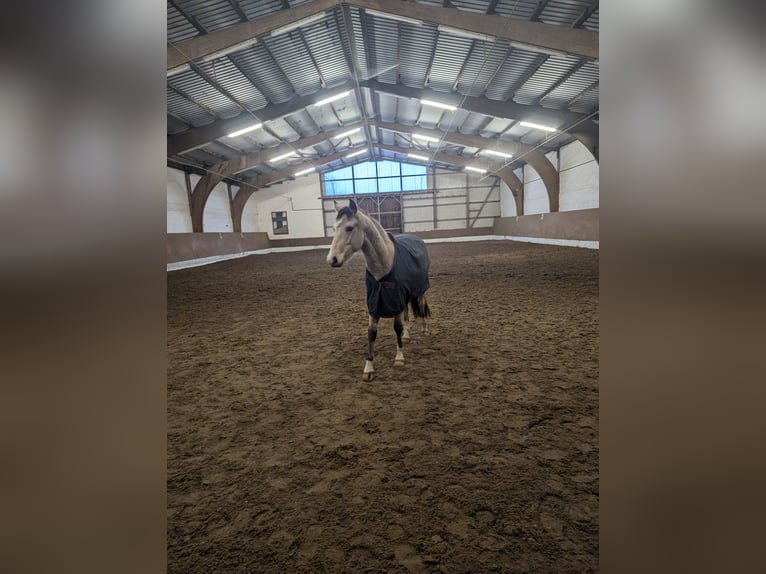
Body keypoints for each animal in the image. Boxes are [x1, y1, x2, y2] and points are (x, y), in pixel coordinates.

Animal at [326, 198, 432, 382]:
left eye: (349, 228)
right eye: (333, 228)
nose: (332, 259)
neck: (383, 265)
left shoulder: (395, 300)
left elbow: (396, 327)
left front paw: (399, 357)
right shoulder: (374, 303)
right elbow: (371, 333)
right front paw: (368, 367)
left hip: (419, 291)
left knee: (420, 306)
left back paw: (424, 329)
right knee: (406, 312)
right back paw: (407, 335)